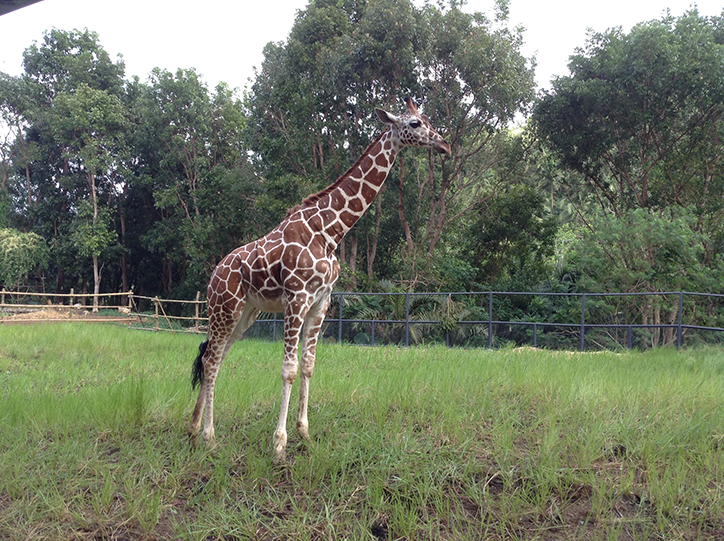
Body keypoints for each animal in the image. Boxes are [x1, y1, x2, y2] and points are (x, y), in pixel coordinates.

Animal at [188, 97, 451, 461]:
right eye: (414, 123)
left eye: (426, 119)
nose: (445, 145)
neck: (330, 231)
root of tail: (214, 275)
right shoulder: (297, 297)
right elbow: (288, 369)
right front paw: (279, 444)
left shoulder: (321, 302)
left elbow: (309, 365)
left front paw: (305, 434)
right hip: (224, 309)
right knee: (211, 360)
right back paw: (210, 437)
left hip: (244, 314)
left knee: (214, 358)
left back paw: (194, 431)